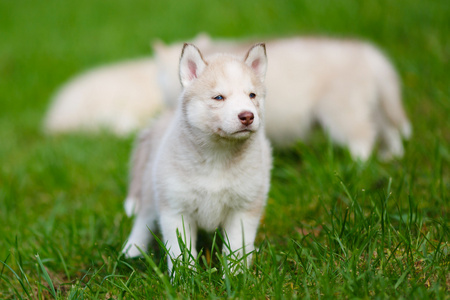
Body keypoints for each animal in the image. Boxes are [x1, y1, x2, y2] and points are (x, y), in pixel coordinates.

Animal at [121, 42, 272, 274]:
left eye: (252, 95)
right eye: (218, 97)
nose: (247, 116)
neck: (218, 157)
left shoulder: (245, 207)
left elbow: (236, 246)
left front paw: (236, 274)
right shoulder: (175, 208)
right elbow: (180, 251)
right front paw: (184, 277)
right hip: (149, 189)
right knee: (143, 219)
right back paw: (133, 249)